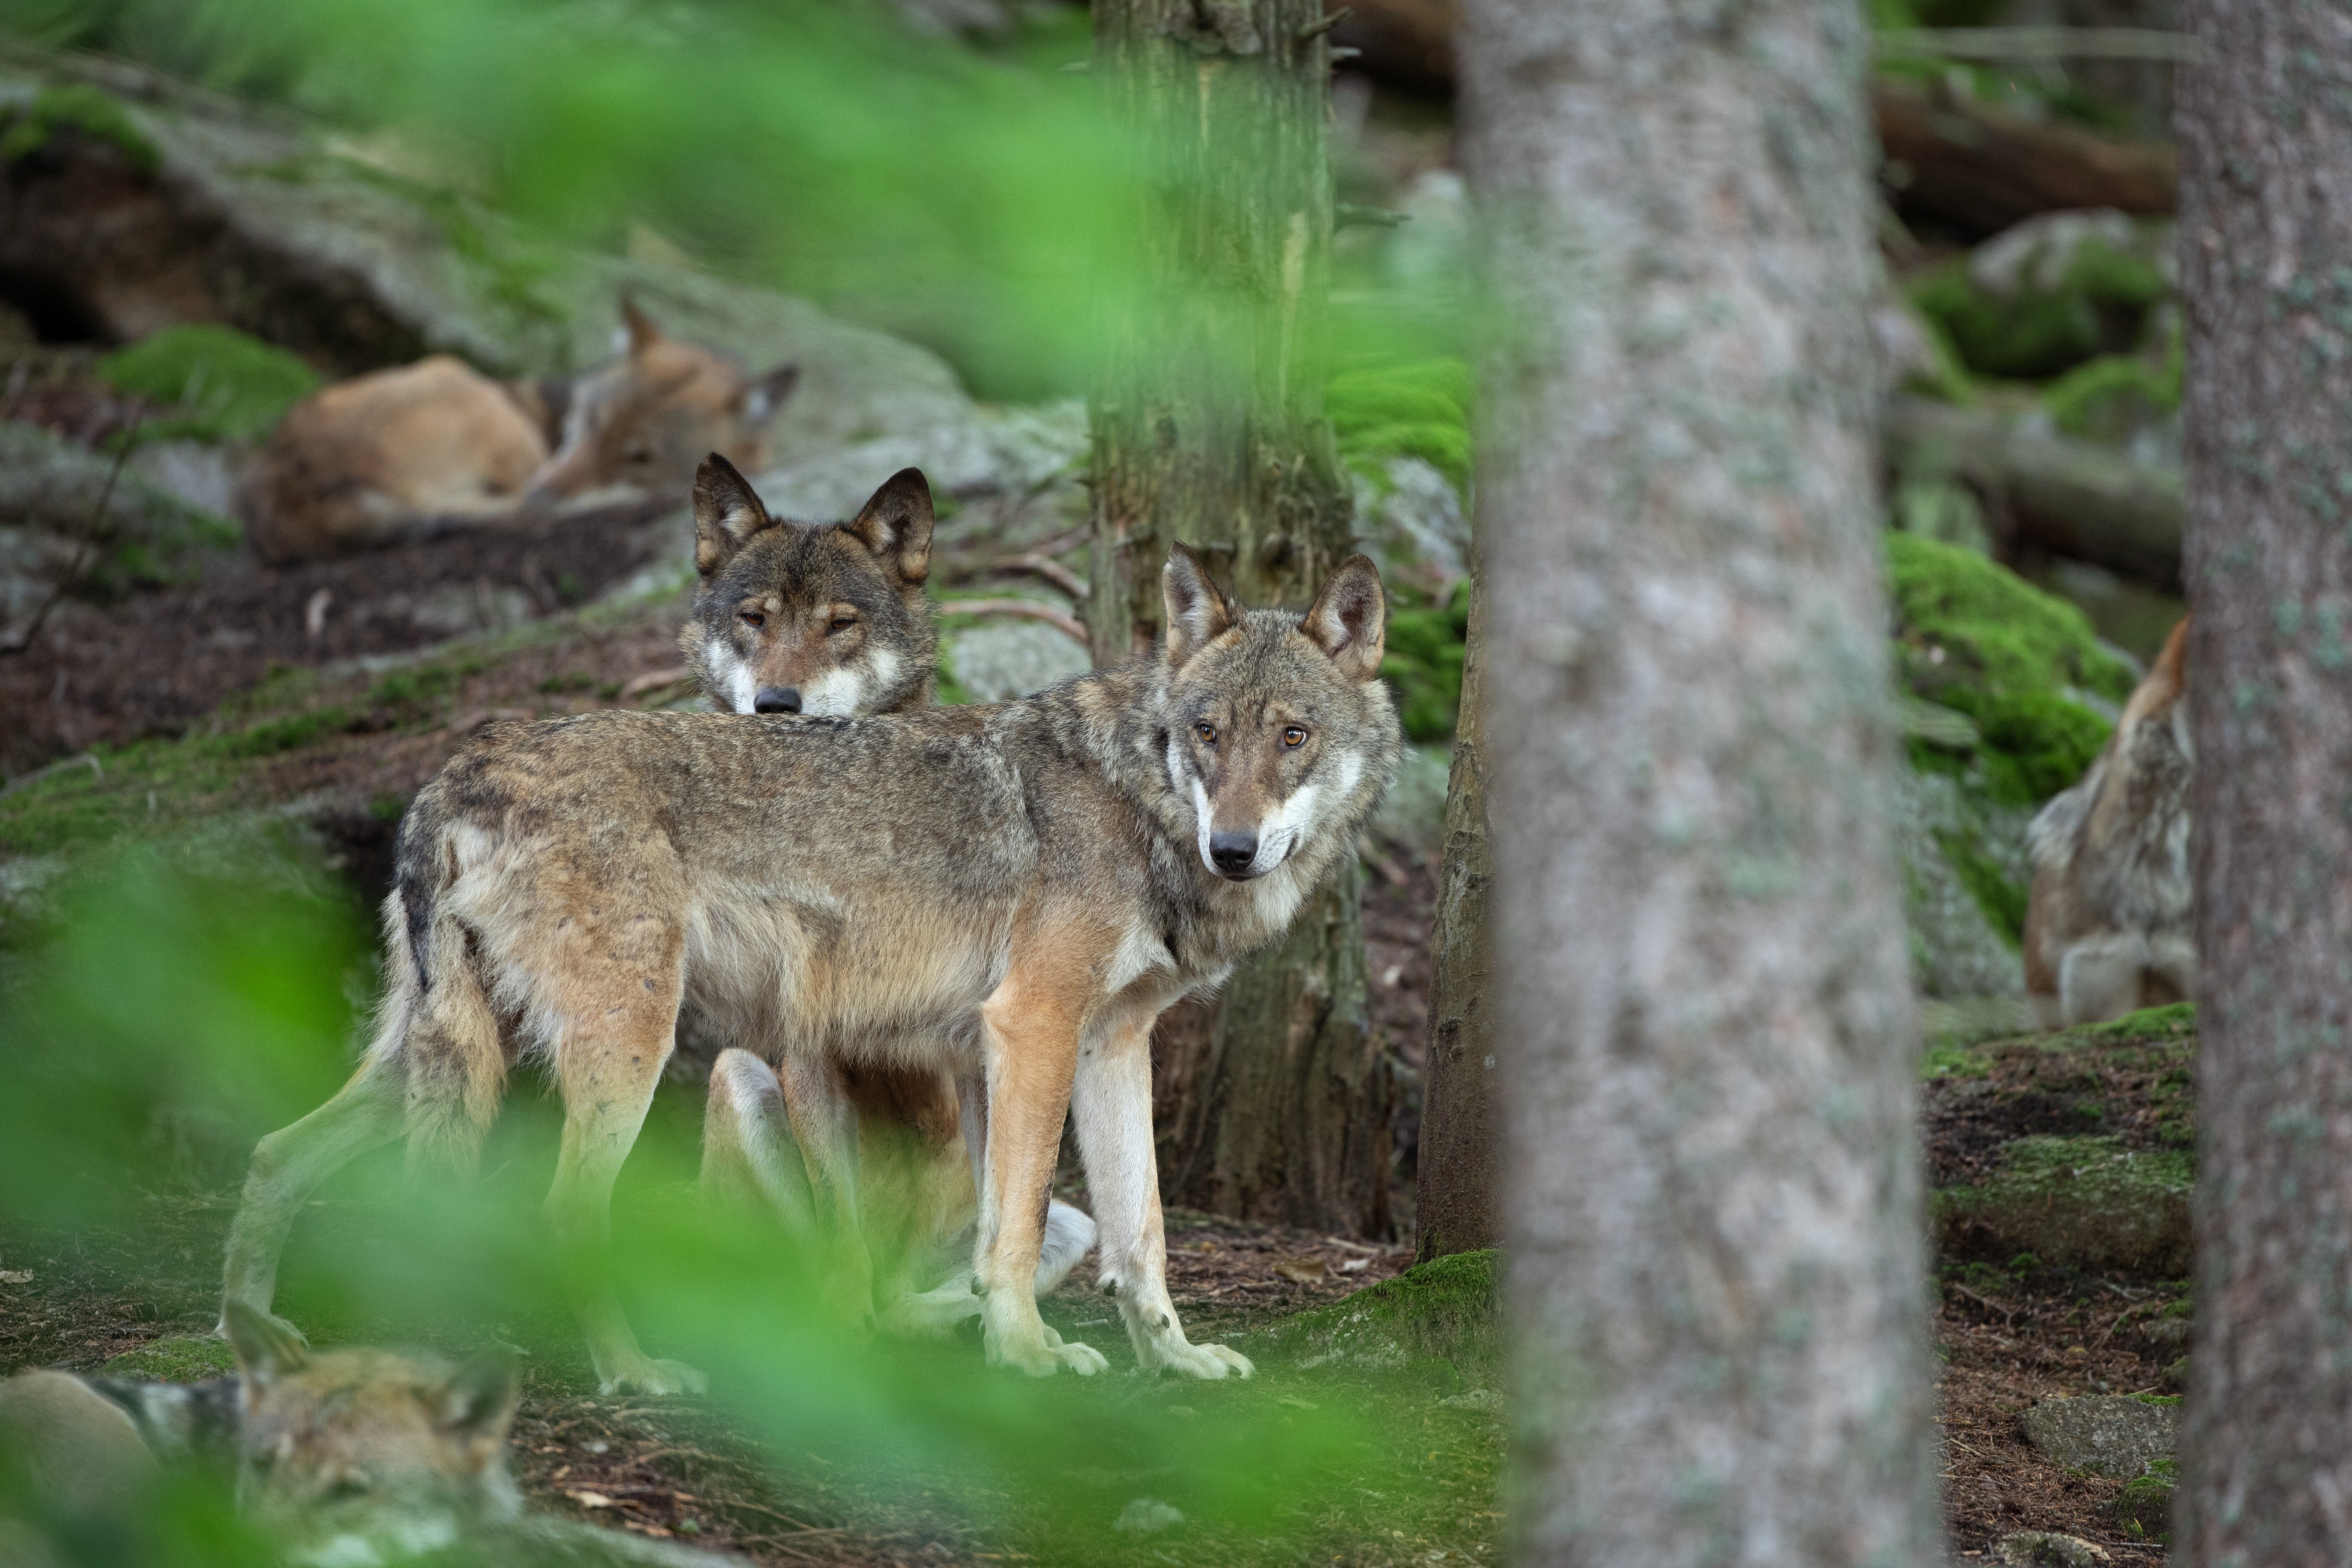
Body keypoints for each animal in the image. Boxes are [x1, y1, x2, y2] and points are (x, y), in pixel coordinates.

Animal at [218, 540, 1398, 1393]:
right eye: (1207, 732)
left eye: (1291, 736)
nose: (1233, 848)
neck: (1137, 801)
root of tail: (458, 767)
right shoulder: (1030, 1025)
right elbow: (1015, 1225)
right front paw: (1024, 1353)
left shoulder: (1110, 1043)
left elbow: (1137, 1231)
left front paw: (1175, 1360)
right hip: (625, 1050)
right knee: (565, 1213)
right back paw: (637, 1374)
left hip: (445, 1051)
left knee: (277, 1150)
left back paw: (253, 1336)